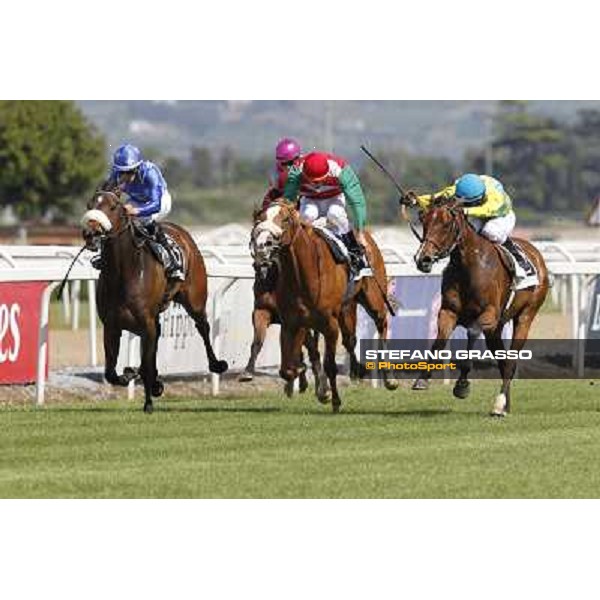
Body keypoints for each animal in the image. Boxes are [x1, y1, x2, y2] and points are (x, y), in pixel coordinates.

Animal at [81, 191, 229, 412]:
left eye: (114, 206)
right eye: (90, 205)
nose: (90, 232)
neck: (123, 273)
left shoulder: (146, 324)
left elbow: (145, 366)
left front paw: (148, 403)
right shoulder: (111, 326)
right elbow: (111, 373)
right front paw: (131, 374)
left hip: (194, 300)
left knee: (203, 327)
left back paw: (216, 364)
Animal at [251, 202, 396, 412]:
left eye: (285, 219)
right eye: (260, 218)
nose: (263, 245)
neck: (304, 275)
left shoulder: (330, 325)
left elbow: (330, 365)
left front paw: (333, 399)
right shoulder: (291, 323)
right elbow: (287, 368)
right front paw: (315, 386)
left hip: (374, 300)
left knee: (382, 324)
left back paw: (389, 379)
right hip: (345, 307)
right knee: (350, 340)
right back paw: (355, 371)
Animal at [412, 199, 548, 414]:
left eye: (446, 224)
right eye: (423, 221)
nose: (423, 259)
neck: (469, 266)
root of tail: (536, 253)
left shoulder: (488, 315)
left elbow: (472, 334)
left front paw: (462, 385)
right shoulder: (448, 312)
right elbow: (439, 341)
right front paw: (422, 379)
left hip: (526, 316)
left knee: (511, 361)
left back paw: (499, 404)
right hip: (496, 328)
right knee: (503, 360)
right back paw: (505, 405)